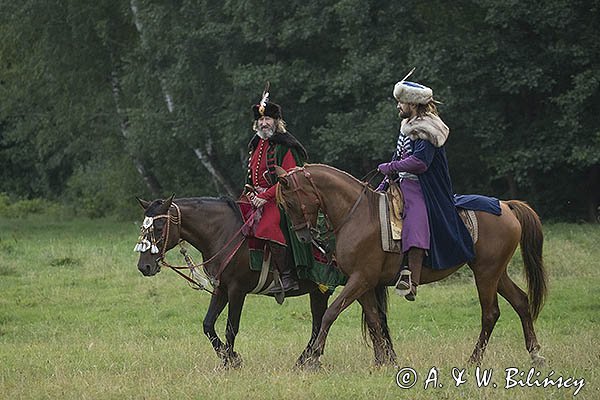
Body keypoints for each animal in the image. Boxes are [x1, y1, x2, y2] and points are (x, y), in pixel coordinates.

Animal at [134, 195, 330, 368]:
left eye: (159, 228)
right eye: (144, 229)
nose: (144, 266)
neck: (223, 233)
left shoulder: (237, 290)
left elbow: (231, 327)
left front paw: (230, 361)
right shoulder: (221, 288)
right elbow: (208, 325)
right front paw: (230, 358)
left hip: (323, 289)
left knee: (320, 323)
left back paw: (307, 360)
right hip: (317, 291)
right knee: (319, 323)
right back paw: (308, 359)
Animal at [276, 162, 548, 368]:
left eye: (290, 203)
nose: (303, 237)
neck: (358, 215)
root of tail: (505, 205)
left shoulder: (360, 278)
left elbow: (331, 313)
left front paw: (314, 358)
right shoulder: (363, 283)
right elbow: (374, 320)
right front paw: (383, 361)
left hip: (486, 273)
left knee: (490, 314)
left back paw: (473, 361)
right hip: (495, 272)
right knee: (521, 302)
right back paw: (535, 354)